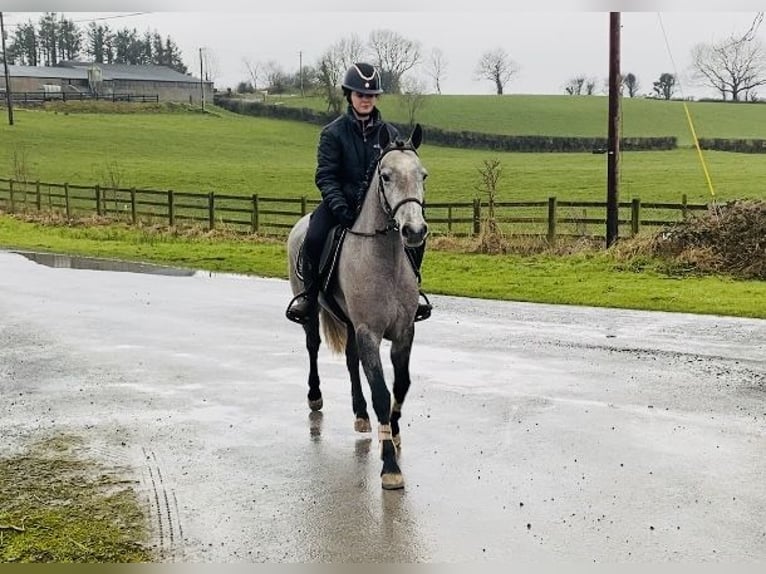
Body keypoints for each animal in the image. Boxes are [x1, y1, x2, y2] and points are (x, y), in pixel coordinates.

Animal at [290, 125, 432, 490]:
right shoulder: (370, 332)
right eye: (385, 176)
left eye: (422, 175)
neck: (385, 259)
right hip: (312, 313)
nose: (414, 231)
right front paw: (390, 466)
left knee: (352, 361)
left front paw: (392, 433)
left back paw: (360, 414)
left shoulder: (403, 331)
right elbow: (381, 391)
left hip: (352, 324)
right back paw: (315, 396)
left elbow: (400, 385)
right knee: (313, 346)